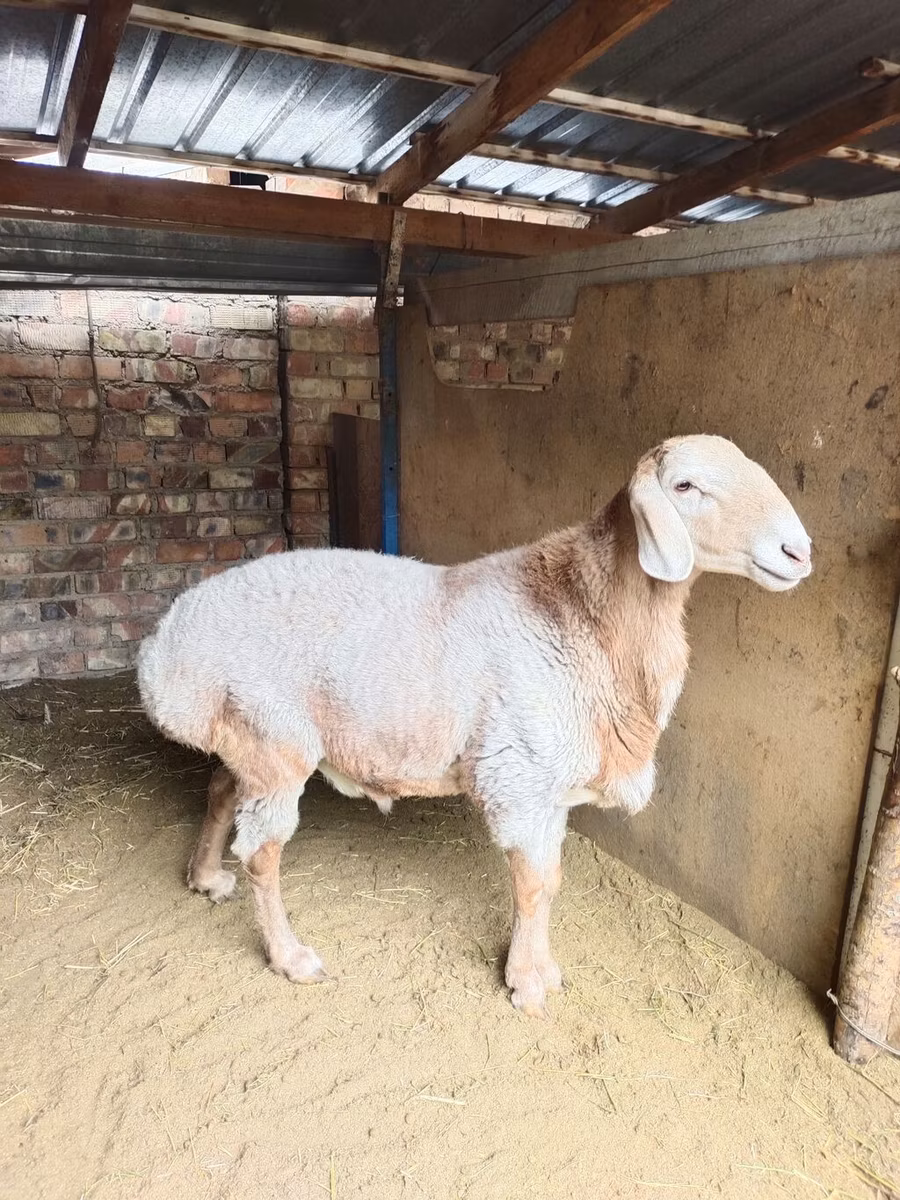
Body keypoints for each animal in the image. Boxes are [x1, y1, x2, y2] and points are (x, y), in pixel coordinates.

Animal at [137, 434, 811, 1017]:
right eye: (686, 485)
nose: (798, 552)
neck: (588, 619)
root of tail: (166, 645)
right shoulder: (521, 773)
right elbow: (534, 886)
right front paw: (527, 985)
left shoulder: (549, 786)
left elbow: (553, 881)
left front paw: (541, 969)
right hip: (274, 736)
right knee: (262, 852)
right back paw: (290, 956)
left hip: (245, 735)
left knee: (220, 790)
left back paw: (204, 877)